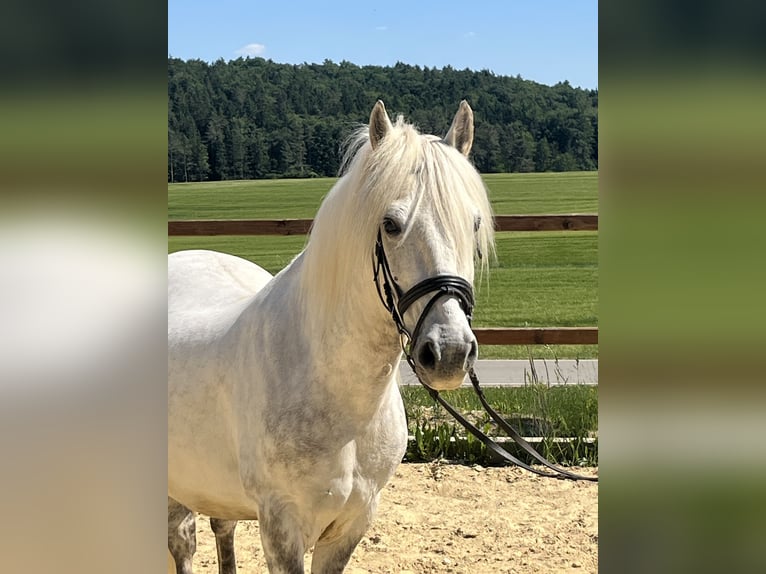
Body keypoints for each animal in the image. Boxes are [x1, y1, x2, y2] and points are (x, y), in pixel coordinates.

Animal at [168, 100, 495, 574]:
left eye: (473, 223)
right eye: (390, 224)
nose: (449, 352)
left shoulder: (352, 523)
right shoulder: (281, 528)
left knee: (221, 530)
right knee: (183, 545)